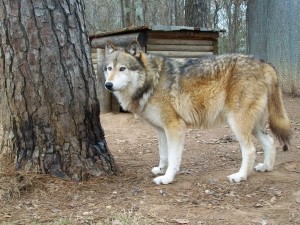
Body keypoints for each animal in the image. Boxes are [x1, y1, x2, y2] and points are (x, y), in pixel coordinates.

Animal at [103, 40, 290, 185]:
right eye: (109, 68)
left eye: (122, 69)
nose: (108, 85)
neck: (152, 81)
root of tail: (264, 63)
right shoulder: (161, 129)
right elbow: (163, 154)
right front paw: (161, 170)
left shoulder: (175, 127)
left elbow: (173, 157)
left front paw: (167, 178)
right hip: (252, 126)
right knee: (270, 141)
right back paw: (266, 167)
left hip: (236, 123)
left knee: (250, 150)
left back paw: (240, 176)